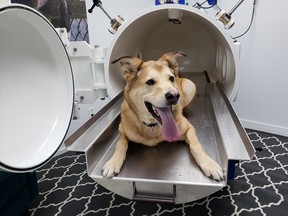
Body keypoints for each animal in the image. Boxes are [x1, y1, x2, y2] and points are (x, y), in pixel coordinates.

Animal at [102, 50, 224, 181]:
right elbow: (120, 144)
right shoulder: (122, 130)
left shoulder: (189, 128)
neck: (152, 125)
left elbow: (196, 145)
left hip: (191, 86)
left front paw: (209, 164)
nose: (175, 95)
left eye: (171, 78)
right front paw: (113, 163)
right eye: (150, 82)